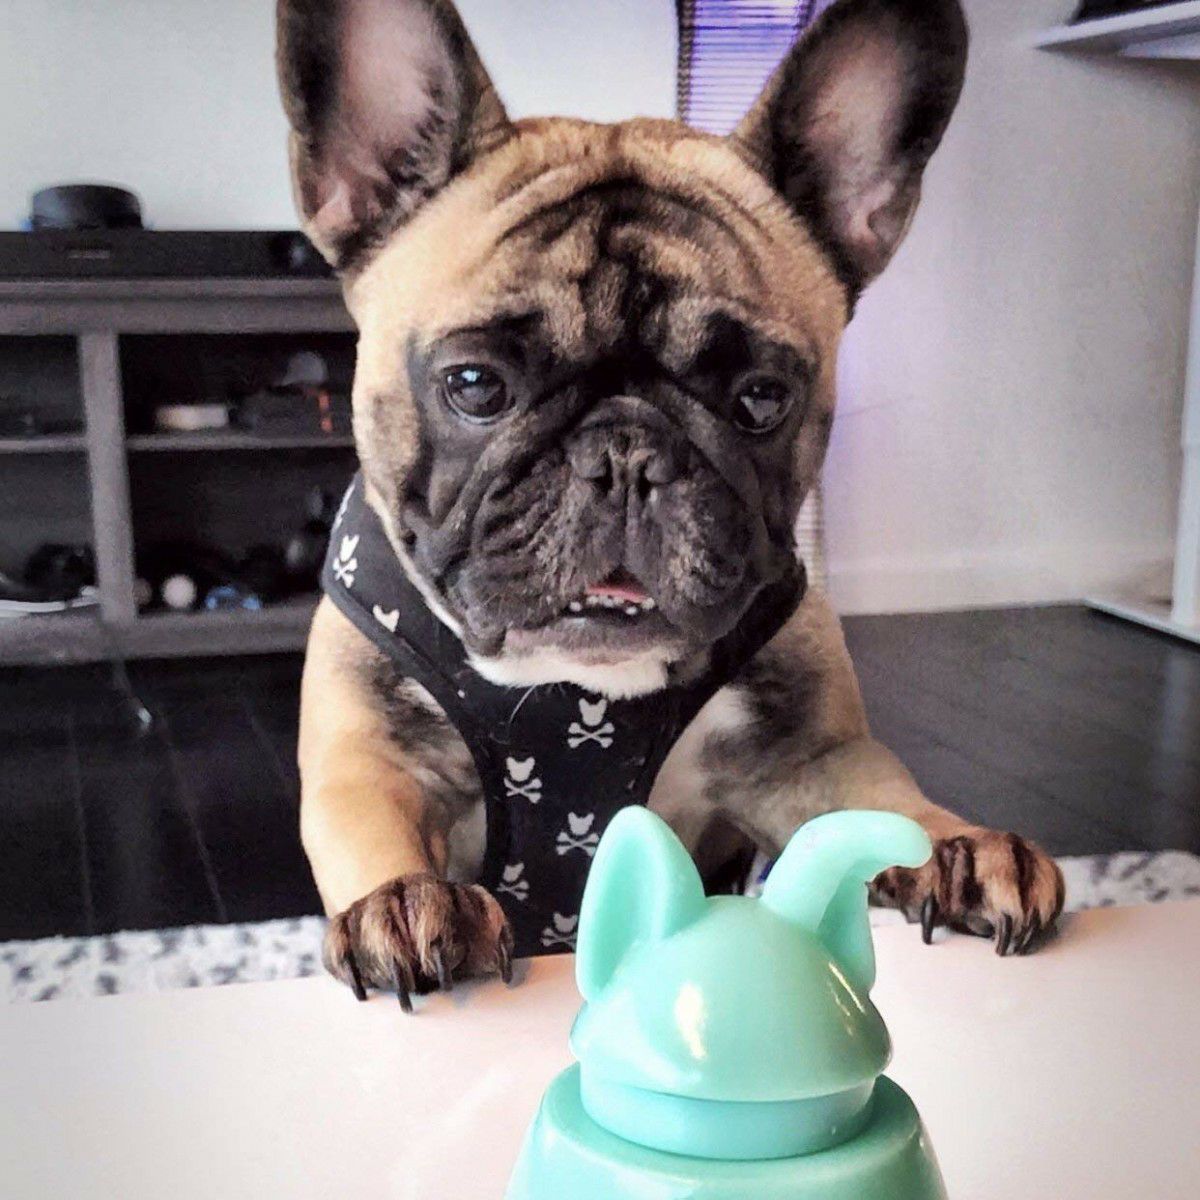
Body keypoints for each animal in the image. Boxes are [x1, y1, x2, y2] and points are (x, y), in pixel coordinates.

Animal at [277, 0, 1065, 1006]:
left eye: (761, 399)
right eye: (474, 385)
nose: (626, 454)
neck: (584, 694)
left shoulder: (806, 760)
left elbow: (884, 796)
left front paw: (958, 851)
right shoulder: (370, 761)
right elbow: (376, 825)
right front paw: (407, 904)